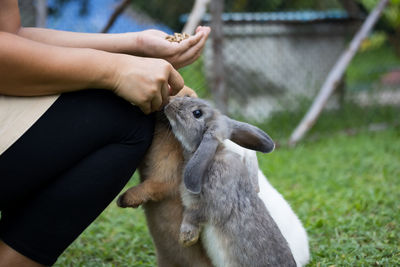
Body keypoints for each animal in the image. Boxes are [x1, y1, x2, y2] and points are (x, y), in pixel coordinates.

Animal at [162, 97, 296, 267]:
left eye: (197, 113)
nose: (169, 103)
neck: (213, 156)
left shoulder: (212, 203)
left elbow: (193, 215)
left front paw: (186, 237)